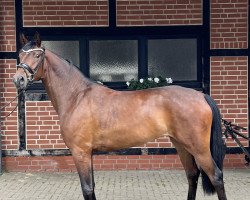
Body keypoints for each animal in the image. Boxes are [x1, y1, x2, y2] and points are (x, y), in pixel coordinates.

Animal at [13, 33, 227, 200]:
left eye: (38, 55)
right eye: (20, 54)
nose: (18, 79)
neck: (77, 96)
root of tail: (201, 95)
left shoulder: (80, 152)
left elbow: (87, 188)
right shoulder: (87, 153)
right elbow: (92, 188)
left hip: (198, 148)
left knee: (216, 176)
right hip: (181, 145)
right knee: (192, 175)